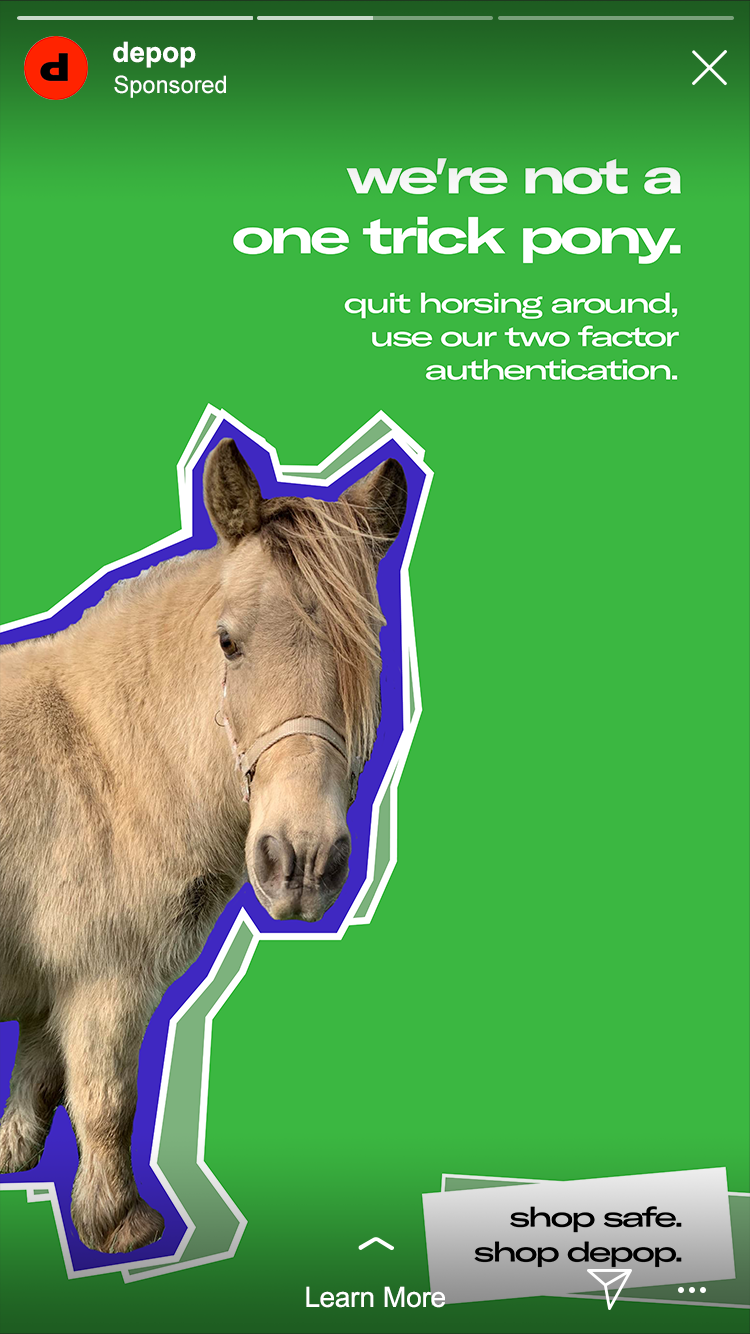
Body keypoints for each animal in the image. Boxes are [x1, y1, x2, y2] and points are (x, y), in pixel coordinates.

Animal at [0, 438, 407, 1254]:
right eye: (229, 643)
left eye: (365, 650)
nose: (301, 862)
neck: (103, 761)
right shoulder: (104, 979)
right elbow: (106, 1099)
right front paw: (119, 1224)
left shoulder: (53, 980)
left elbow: (40, 1073)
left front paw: (15, 1155)